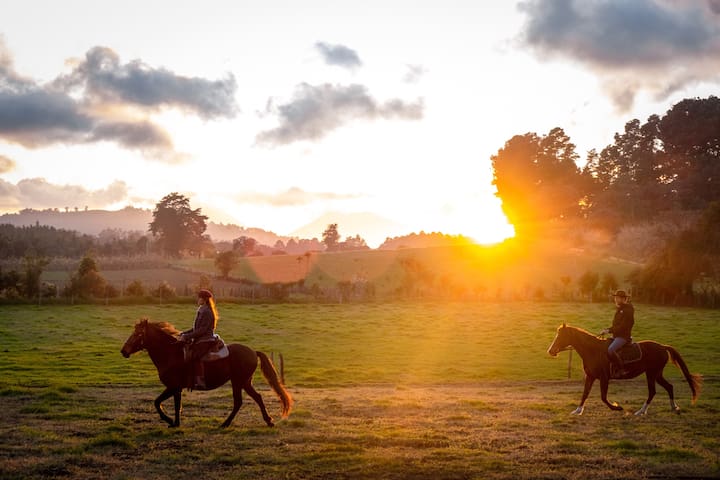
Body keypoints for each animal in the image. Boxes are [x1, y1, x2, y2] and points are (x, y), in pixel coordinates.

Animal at [121, 318, 292, 428]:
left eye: (137, 334)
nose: (123, 351)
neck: (170, 353)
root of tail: (253, 352)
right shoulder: (176, 389)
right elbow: (176, 405)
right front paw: (175, 423)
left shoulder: (172, 386)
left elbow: (157, 402)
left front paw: (169, 421)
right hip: (245, 382)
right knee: (257, 398)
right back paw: (268, 421)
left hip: (238, 381)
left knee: (239, 402)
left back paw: (225, 424)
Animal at [548, 324, 700, 414]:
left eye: (560, 336)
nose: (550, 351)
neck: (593, 350)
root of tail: (662, 346)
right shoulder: (590, 376)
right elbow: (585, 394)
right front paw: (578, 410)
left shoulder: (604, 378)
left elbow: (603, 397)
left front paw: (617, 407)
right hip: (657, 374)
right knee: (669, 387)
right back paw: (674, 407)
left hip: (651, 374)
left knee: (653, 391)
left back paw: (641, 411)